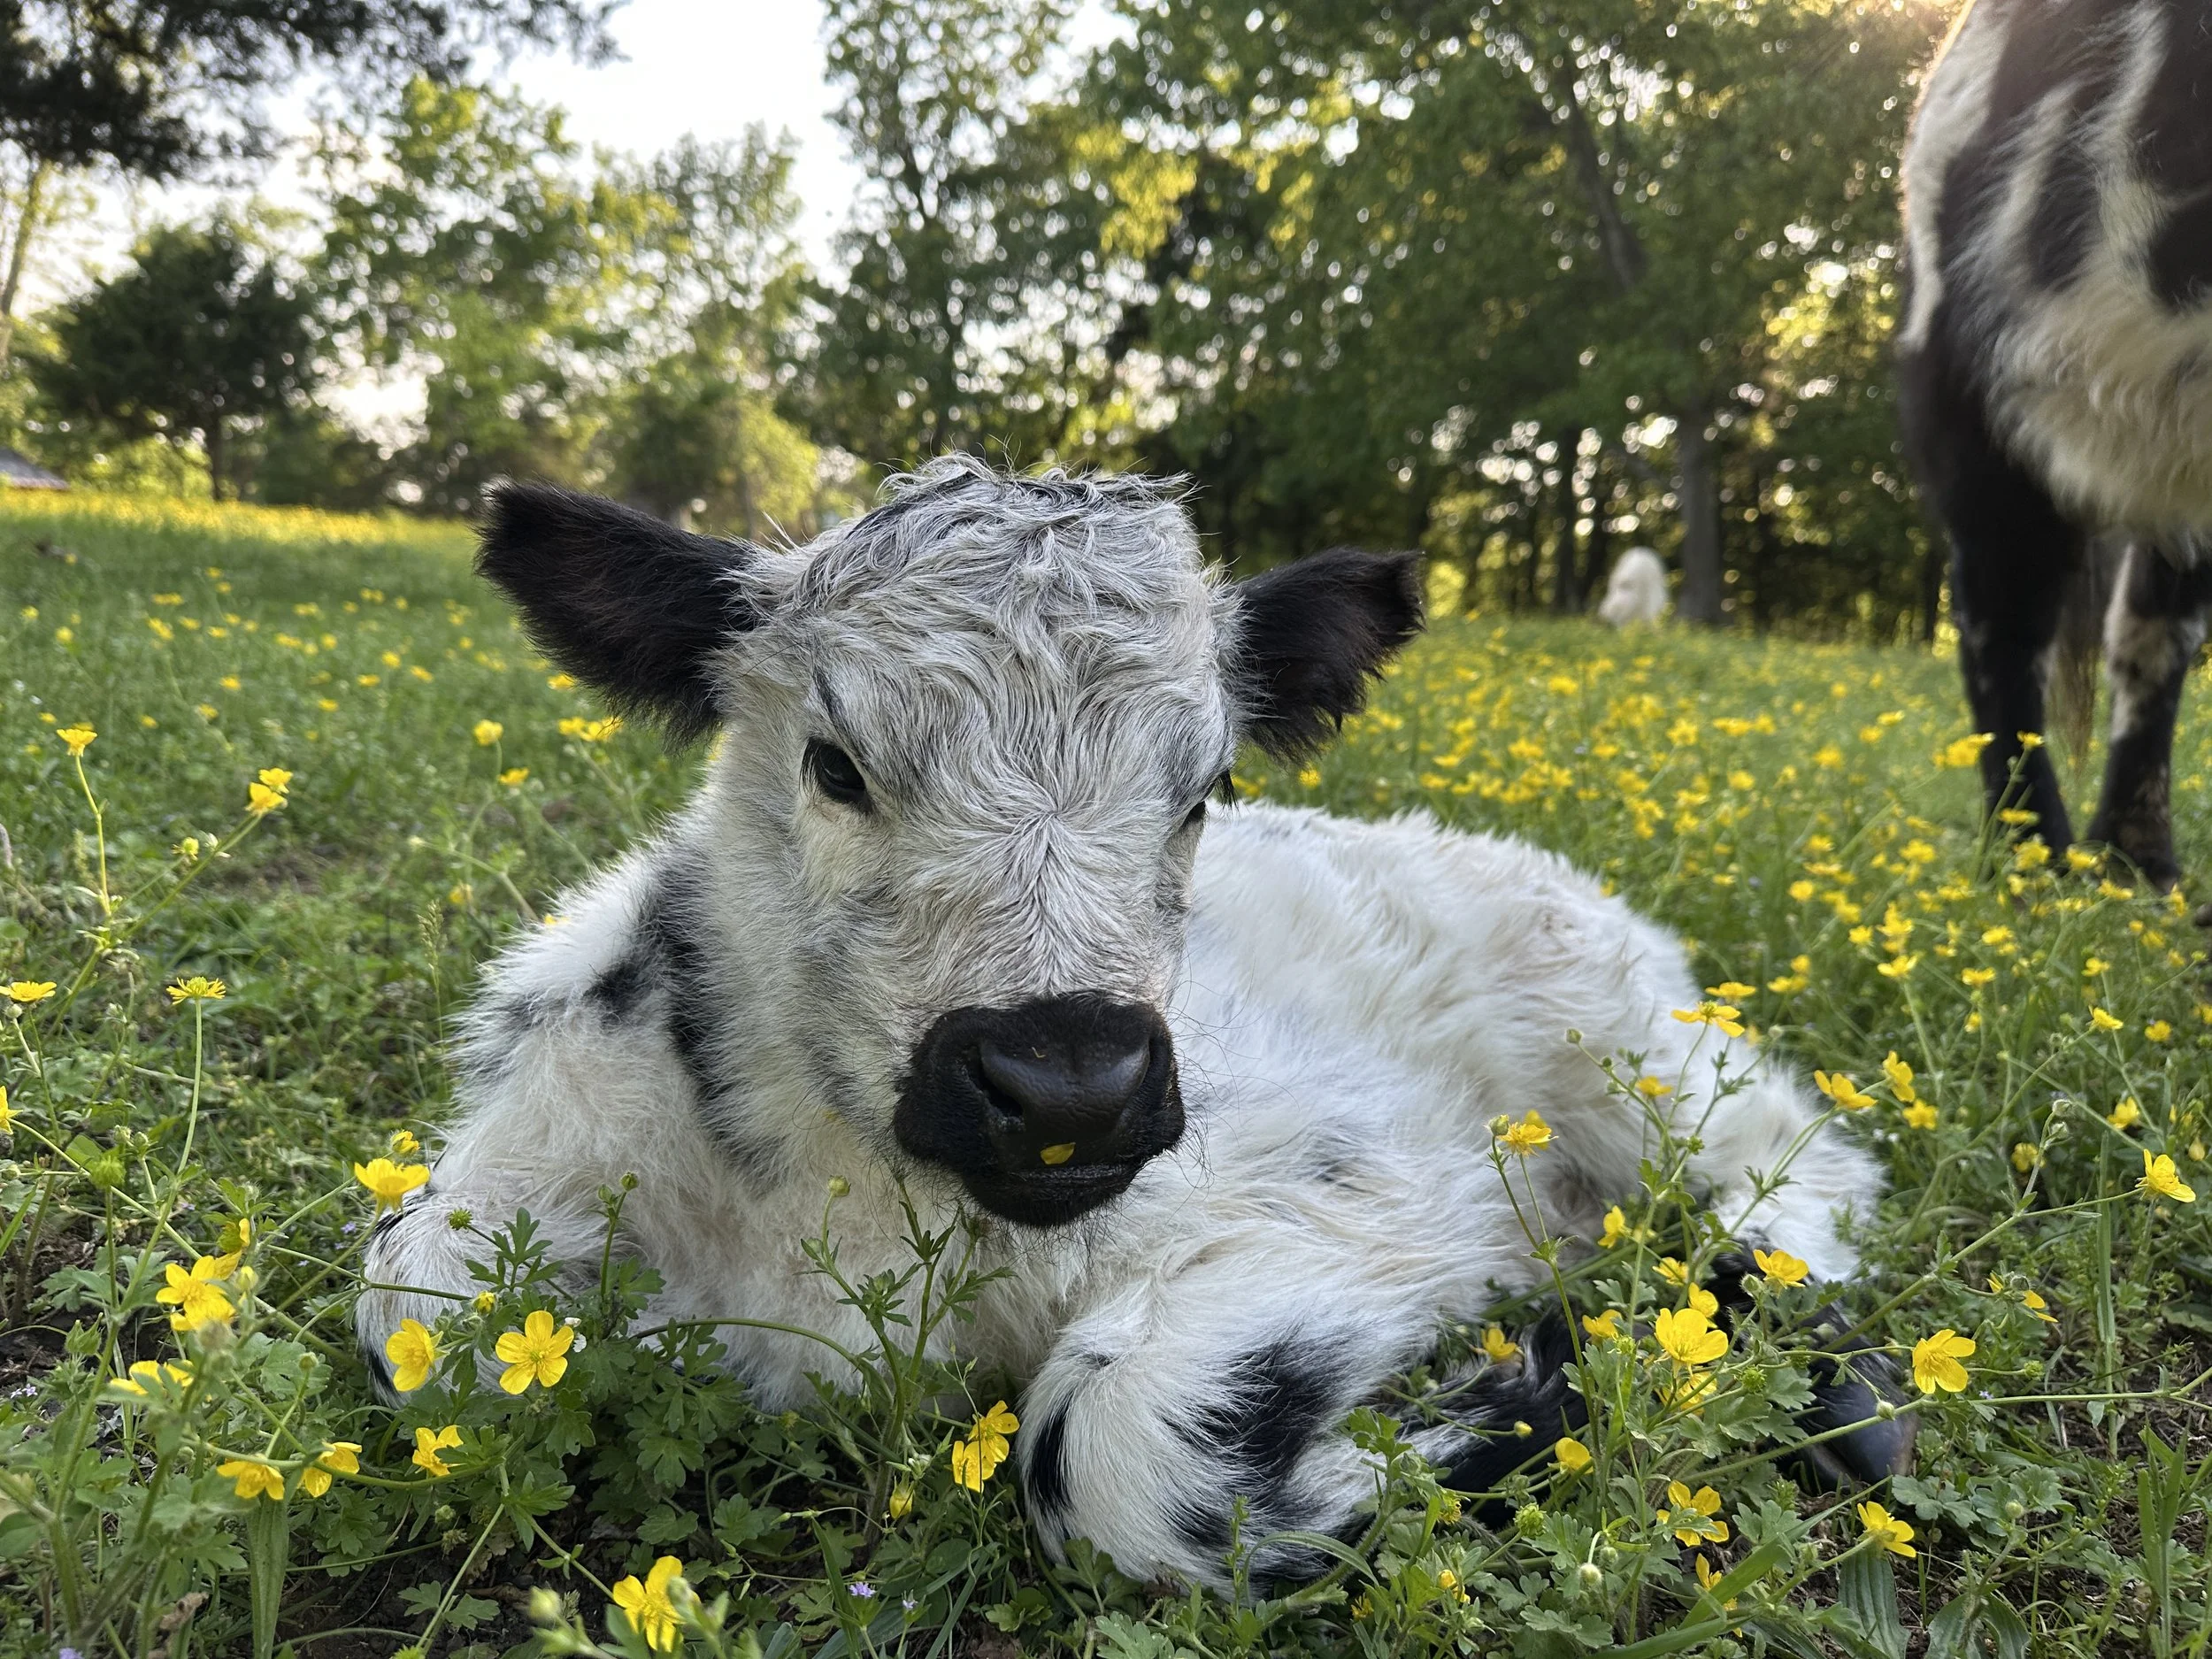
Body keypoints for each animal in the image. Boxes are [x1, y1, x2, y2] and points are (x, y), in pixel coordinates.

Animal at [358, 459, 1906, 1588]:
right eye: (834, 763)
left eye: (1206, 786)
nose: (1069, 1086)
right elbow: (416, 1316)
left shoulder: (1378, 1183)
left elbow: (1114, 1450)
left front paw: (1515, 1402)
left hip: (1628, 1044)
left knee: (1797, 1161)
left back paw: (1834, 1382)